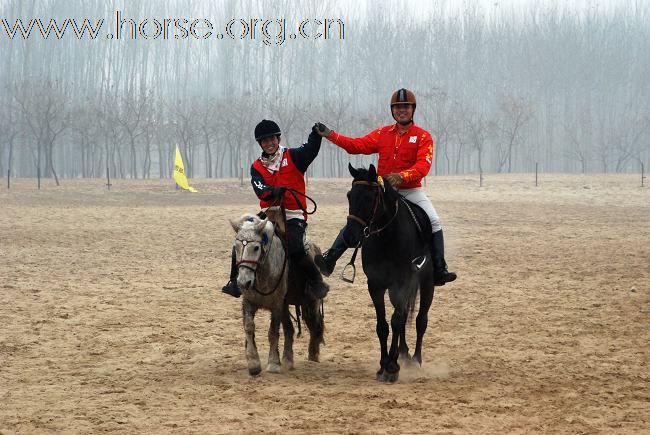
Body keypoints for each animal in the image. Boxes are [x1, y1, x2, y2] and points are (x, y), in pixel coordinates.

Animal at [230, 213, 326, 376]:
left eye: (256, 247)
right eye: (236, 247)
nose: (243, 282)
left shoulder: (276, 305)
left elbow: (273, 332)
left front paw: (273, 363)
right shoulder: (249, 302)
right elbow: (249, 327)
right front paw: (253, 363)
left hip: (311, 303)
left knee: (315, 326)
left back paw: (312, 357)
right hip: (286, 306)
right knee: (290, 329)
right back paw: (288, 360)